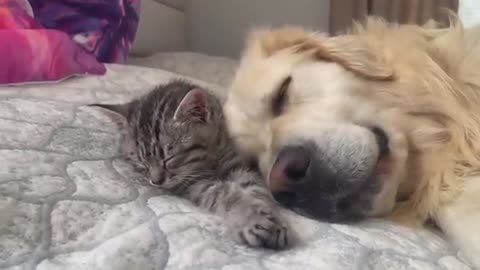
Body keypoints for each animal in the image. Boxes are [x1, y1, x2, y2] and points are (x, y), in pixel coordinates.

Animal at [90, 80, 292, 249]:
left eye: (169, 158)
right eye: (141, 162)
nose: (156, 181)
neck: (210, 159)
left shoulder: (237, 164)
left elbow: (255, 188)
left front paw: (268, 217)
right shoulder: (193, 184)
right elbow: (223, 194)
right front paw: (252, 219)